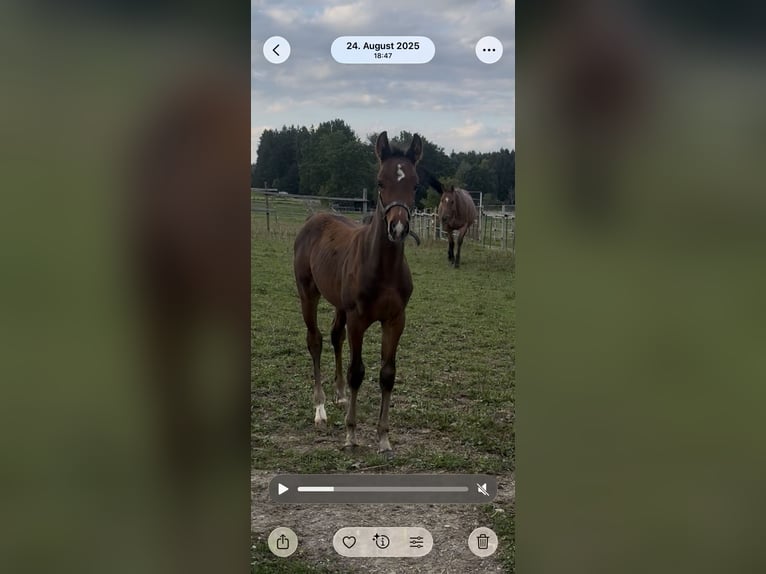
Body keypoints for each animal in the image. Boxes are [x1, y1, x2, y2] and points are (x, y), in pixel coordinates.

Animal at [293, 131, 423, 454]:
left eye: (415, 184)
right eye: (380, 182)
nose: (397, 227)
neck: (383, 269)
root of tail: (313, 219)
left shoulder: (395, 320)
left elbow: (387, 374)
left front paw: (384, 438)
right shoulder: (358, 320)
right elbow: (357, 372)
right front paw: (351, 433)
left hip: (339, 304)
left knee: (335, 335)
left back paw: (339, 395)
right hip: (308, 294)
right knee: (315, 340)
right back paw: (321, 409)